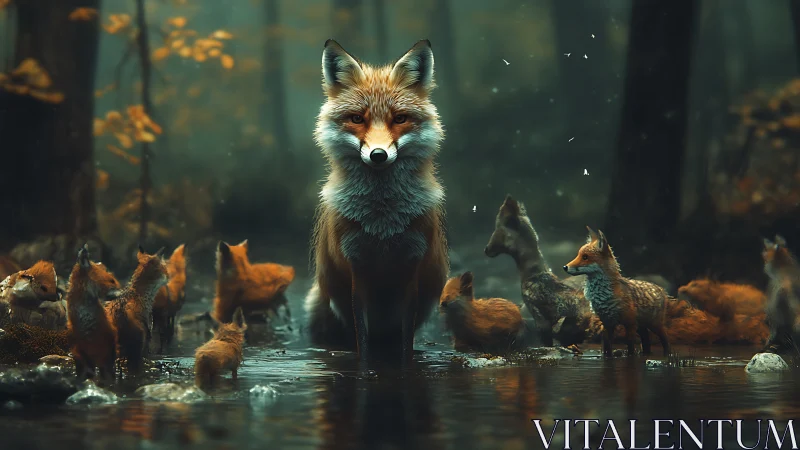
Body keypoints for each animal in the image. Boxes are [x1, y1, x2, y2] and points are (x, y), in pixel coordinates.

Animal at [303, 39, 449, 365]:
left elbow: (406, 346)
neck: (383, 225)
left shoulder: (411, 268)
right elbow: (363, 345)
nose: (378, 155)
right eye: (358, 118)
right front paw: (365, 369)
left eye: (399, 118)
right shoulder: (356, 270)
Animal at [564, 227, 671, 357]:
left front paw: (630, 357)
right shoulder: (607, 322)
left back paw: (667, 355)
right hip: (641, 326)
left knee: (665, 339)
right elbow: (607, 346)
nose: (565, 267)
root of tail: (662, 289)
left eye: (585, 257)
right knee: (646, 341)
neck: (602, 295)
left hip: (654, 325)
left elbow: (630, 346)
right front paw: (607, 356)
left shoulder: (629, 323)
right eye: (578, 255)